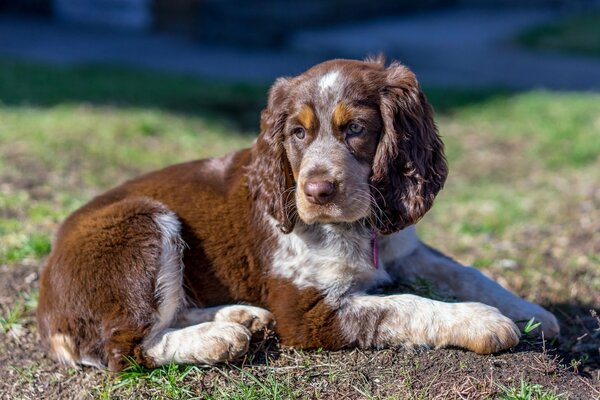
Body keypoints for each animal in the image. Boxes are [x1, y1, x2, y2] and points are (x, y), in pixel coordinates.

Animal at [37, 57, 560, 370]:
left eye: (357, 129)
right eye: (297, 133)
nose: (317, 190)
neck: (361, 225)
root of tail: (47, 307)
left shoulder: (405, 247)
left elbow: (467, 272)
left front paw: (532, 311)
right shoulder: (307, 310)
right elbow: (403, 305)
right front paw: (483, 322)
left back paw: (242, 317)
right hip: (144, 222)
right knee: (127, 347)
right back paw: (217, 338)